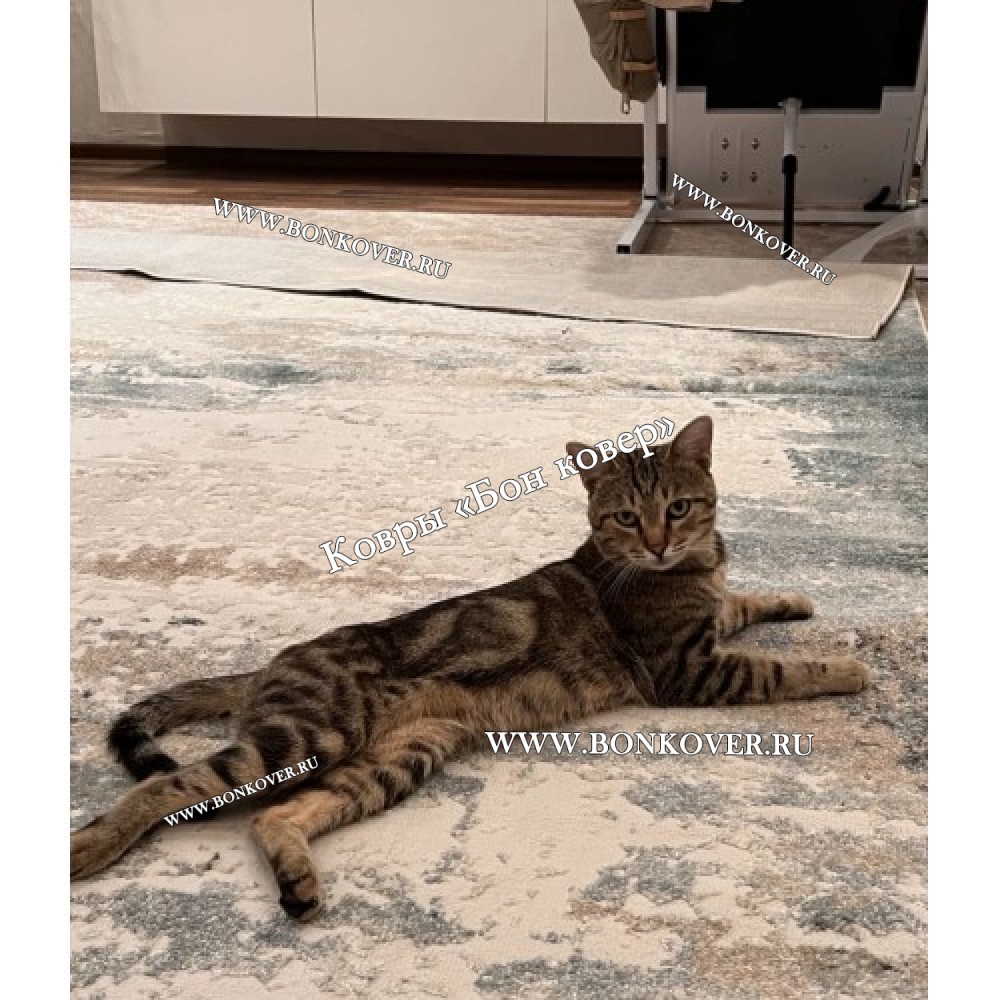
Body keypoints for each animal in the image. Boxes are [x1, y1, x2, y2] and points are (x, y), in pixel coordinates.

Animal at [70, 415, 870, 920]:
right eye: (624, 517)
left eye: (679, 507)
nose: (657, 543)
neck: (688, 567)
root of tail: (273, 661)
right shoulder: (686, 669)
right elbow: (778, 668)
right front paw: (848, 668)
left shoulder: (708, 624)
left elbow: (742, 602)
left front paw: (792, 600)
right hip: (305, 739)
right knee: (169, 786)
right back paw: (92, 847)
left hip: (397, 758)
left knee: (274, 818)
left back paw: (298, 883)